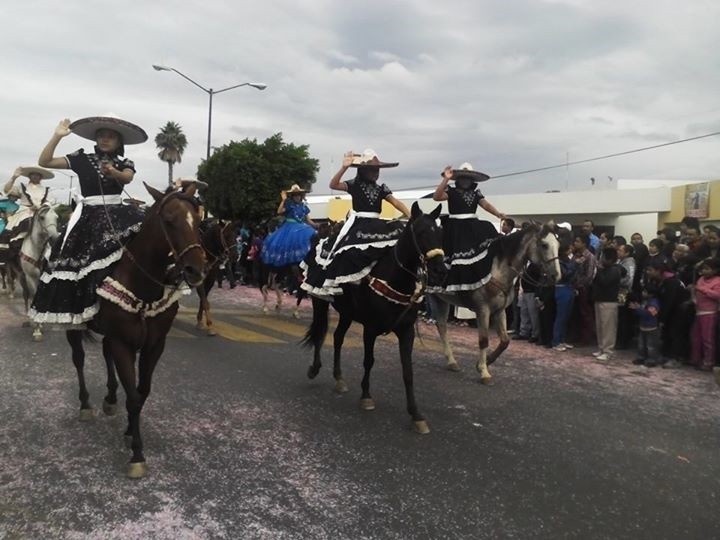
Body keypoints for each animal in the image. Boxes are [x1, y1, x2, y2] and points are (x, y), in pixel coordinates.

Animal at [10, 205, 59, 340]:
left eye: (56, 217)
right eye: (42, 217)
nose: (55, 239)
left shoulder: (45, 278)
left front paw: (41, 322)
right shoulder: (30, 277)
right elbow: (33, 296)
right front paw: (37, 329)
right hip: (21, 276)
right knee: (26, 295)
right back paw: (28, 317)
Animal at [64, 184, 205, 478]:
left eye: (198, 221)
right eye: (169, 221)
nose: (195, 270)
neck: (142, 285)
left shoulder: (154, 345)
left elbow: (142, 393)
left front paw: (130, 431)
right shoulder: (123, 344)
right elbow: (133, 396)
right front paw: (137, 454)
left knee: (105, 354)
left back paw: (109, 398)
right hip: (75, 326)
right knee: (79, 359)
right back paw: (85, 405)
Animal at [300, 202, 448, 434]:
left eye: (441, 233)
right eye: (421, 232)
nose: (440, 270)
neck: (394, 279)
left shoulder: (406, 331)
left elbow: (408, 372)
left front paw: (416, 414)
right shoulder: (370, 329)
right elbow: (368, 361)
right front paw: (366, 397)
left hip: (347, 313)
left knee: (338, 338)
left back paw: (339, 378)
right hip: (320, 302)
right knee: (321, 333)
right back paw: (314, 369)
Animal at [430, 220, 560, 384]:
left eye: (558, 244)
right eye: (544, 245)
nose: (556, 276)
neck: (498, 269)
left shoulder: (499, 310)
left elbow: (505, 341)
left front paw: (484, 363)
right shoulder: (483, 310)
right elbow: (484, 340)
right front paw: (484, 372)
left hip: (440, 298)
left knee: (441, 326)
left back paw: (452, 362)